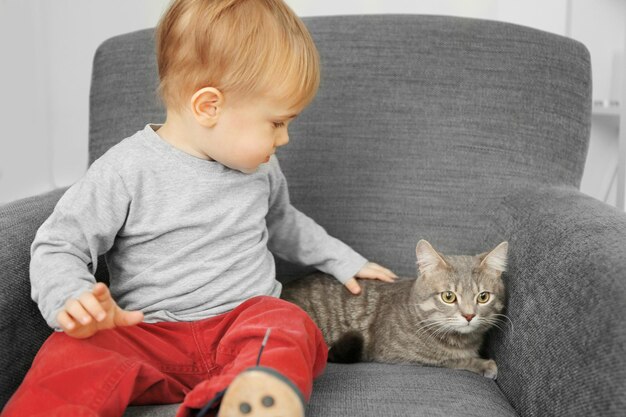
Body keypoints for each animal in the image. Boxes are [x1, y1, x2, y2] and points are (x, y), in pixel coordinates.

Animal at [282, 239, 508, 378]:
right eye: (448, 297)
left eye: (483, 297)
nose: (469, 315)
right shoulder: (401, 355)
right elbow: (451, 360)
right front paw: (483, 364)